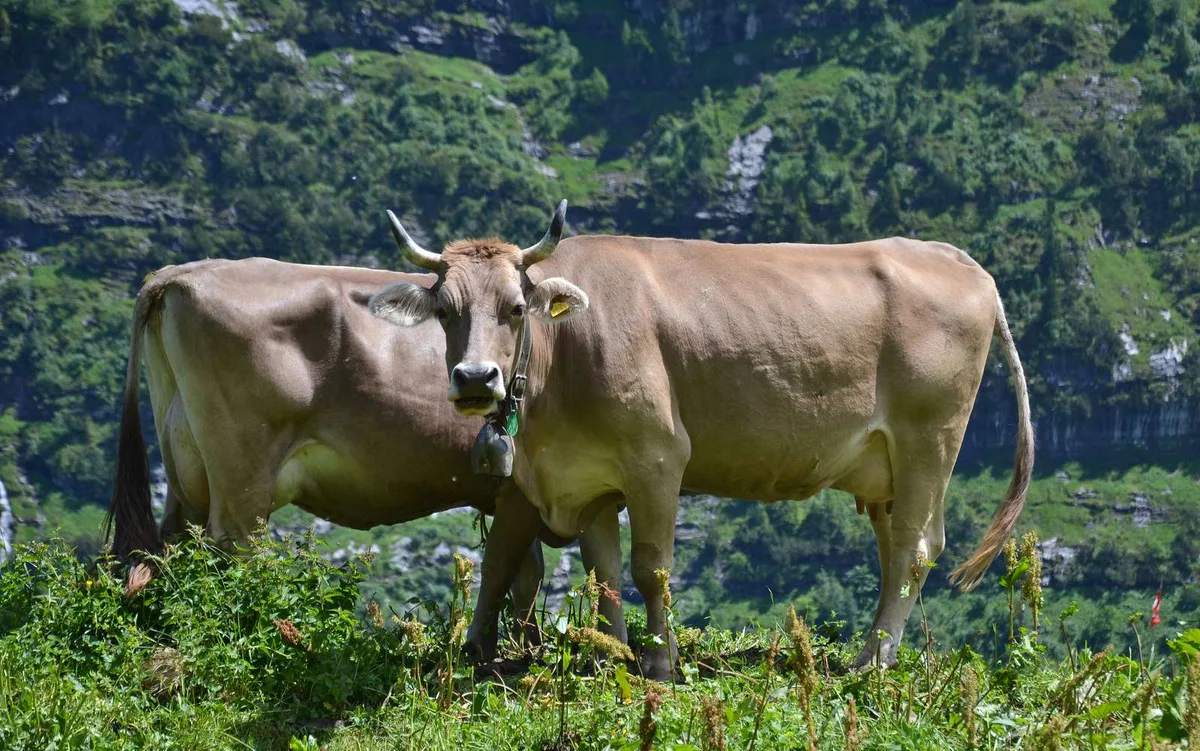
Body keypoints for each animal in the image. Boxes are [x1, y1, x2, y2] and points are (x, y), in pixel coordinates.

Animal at [104, 257, 625, 653]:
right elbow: (522, 570)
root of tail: (182, 272)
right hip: (242, 480)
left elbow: (525, 573)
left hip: (186, 469)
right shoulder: (519, 492)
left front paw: (525, 645)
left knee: (173, 548)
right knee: (233, 554)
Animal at [367, 201, 1034, 680]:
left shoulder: (657, 457)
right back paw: (870, 653)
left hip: (929, 441)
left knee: (915, 550)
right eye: (446, 310)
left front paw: (662, 664)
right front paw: (612, 656)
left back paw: (872, 663)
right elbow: (603, 571)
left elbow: (650, 568)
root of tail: (951, 256)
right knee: (895, 549)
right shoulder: (589, 477)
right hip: (886, 468)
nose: (476, 378)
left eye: (514, 308)